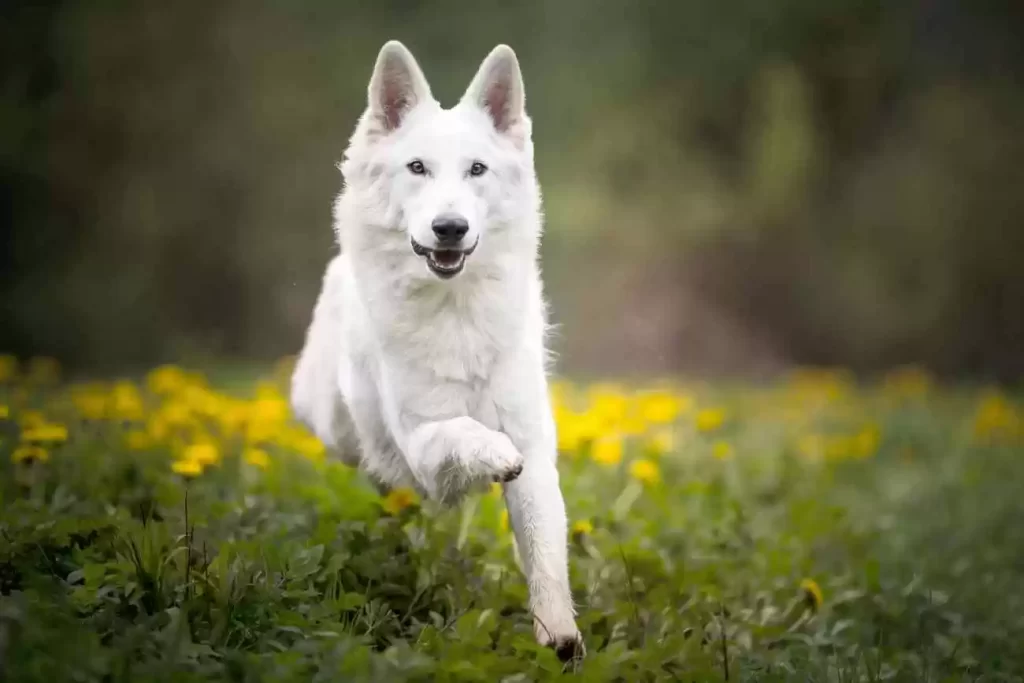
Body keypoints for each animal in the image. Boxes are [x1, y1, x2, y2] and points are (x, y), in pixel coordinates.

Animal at [292, 40, 585, 659]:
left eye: (477, 169)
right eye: (417, 168)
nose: (449, 227)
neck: (456, 311)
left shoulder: (536, 455)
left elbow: (545, 556)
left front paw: (559, 635)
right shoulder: (423, 443)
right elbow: (464, 431)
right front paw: (494, 453)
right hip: (338, 427)